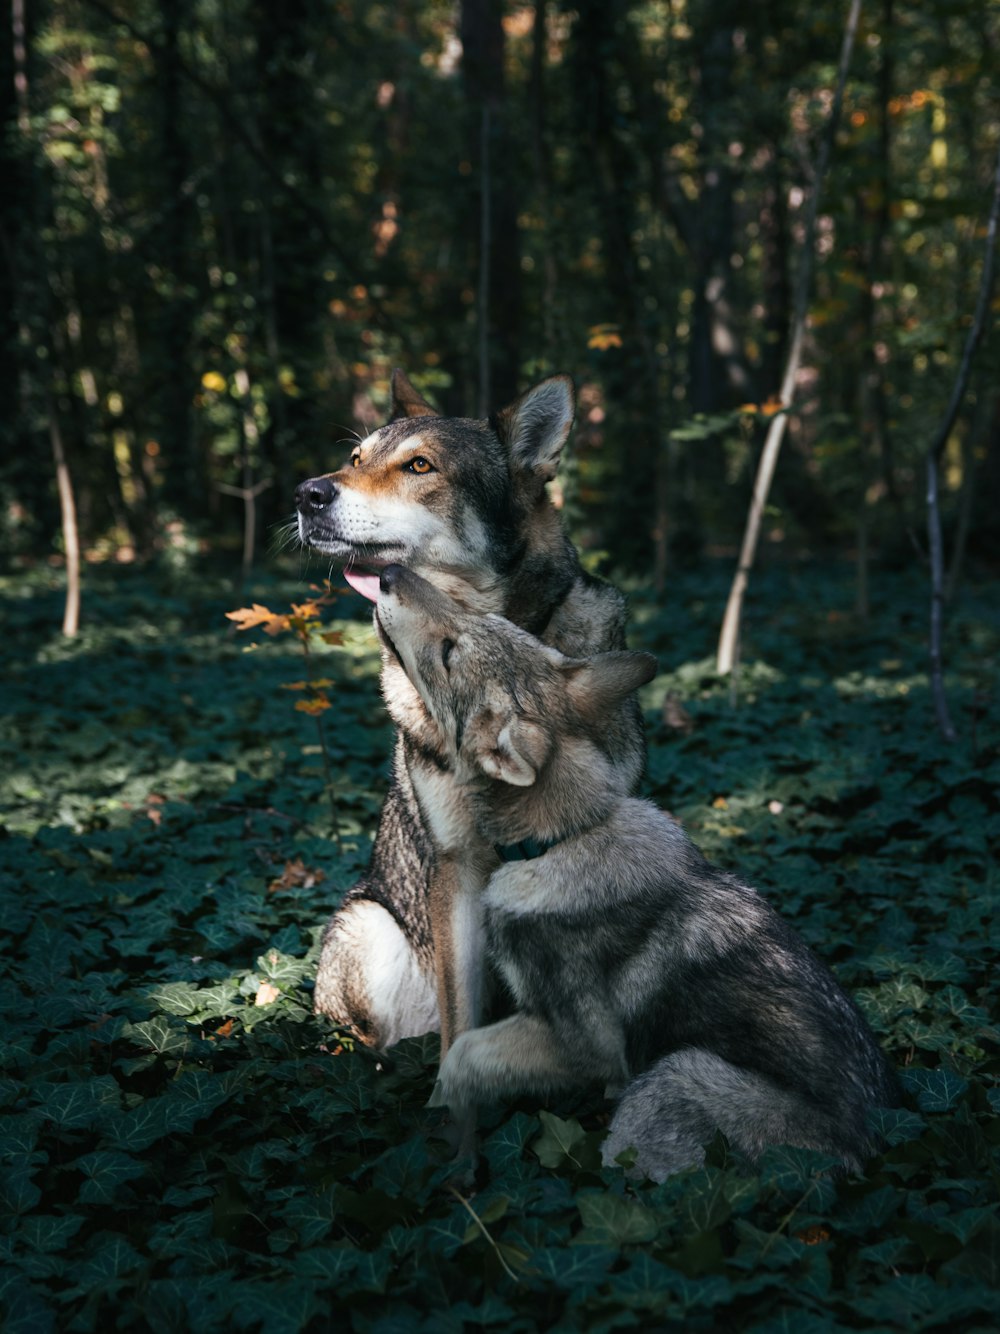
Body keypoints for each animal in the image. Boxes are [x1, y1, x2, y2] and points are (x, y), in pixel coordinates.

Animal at [293, 373, 645, 1051]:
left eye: (419, 466)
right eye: (356, 458)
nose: (305, 493)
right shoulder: (456, 867)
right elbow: (461, 1022)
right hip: (367, 924)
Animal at [376, 562, 901, 1179]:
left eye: (449, 651)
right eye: (472, 620)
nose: (388, 571)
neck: (566, 837)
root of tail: (872, 1149)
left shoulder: (585, 1040)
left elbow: (461, 1056)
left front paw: (452, 1136)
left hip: (672, 1077)